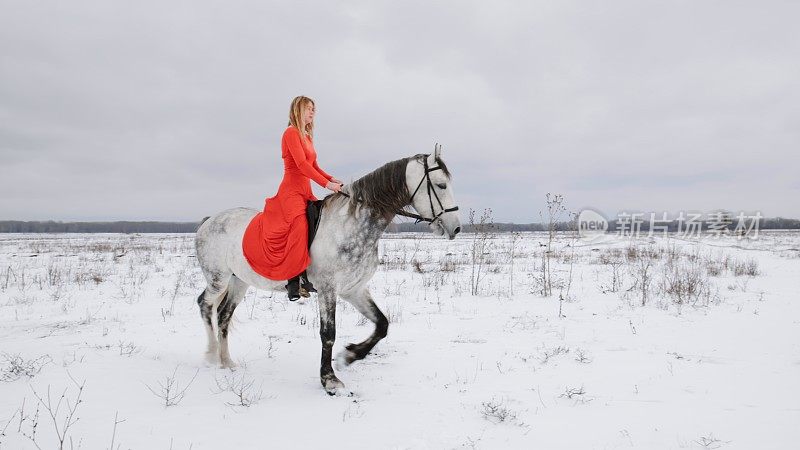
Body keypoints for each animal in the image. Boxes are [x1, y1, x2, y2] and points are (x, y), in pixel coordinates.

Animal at [192, 147, 462, 394]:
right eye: (440, 185)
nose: (456, 228)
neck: (351, 225)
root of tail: (209, 220)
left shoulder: (354, 289)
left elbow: (382, 324)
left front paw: (350, 356)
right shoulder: (328, 290)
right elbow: (328, 333)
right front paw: (330, 380)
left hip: (239, 281)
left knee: (223, 315)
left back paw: (227, 362)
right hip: (218, 279)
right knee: (205, 304)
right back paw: (211, 355)